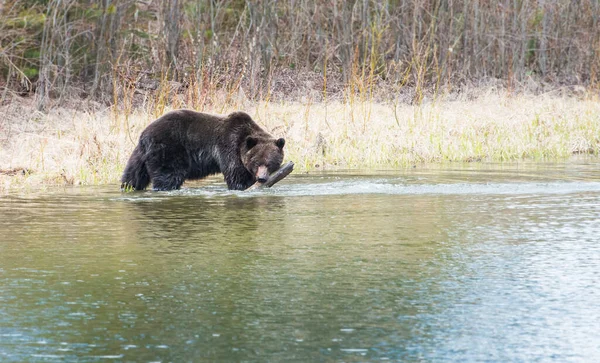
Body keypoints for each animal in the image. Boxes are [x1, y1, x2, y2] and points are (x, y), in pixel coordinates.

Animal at [121, 110, 286, 191]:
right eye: (256, 163)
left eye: (269, 163)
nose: (262, 178)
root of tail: (144, 134)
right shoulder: (229, 146)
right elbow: (236, 175)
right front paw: (243, 186)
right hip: (168, 149)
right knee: (168, 175)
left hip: (140, 154)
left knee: (133, 174)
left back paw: (129, 187)